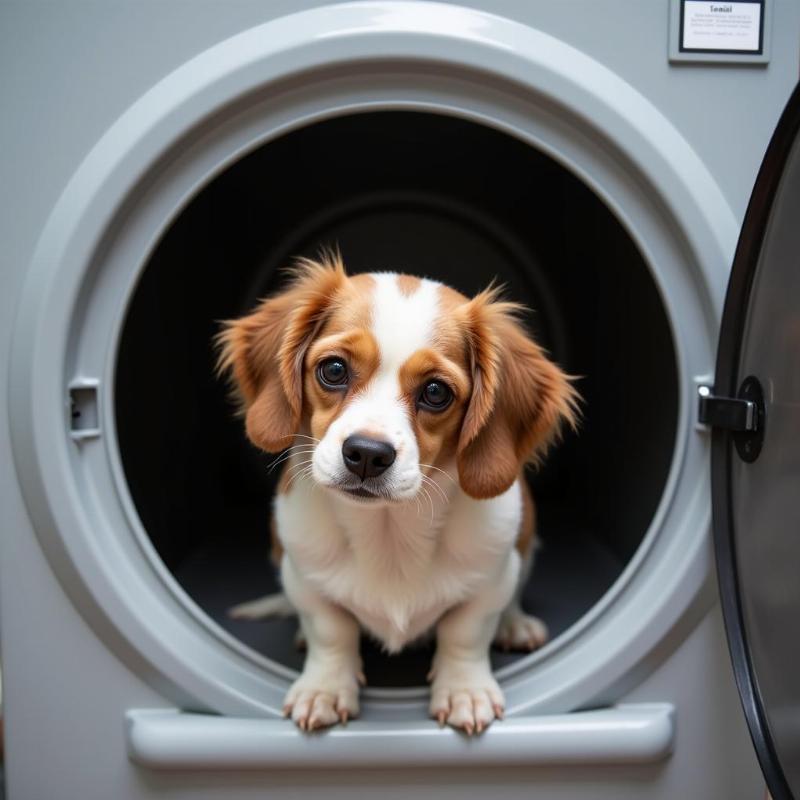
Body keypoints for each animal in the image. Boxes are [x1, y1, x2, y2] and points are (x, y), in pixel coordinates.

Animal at [216, 253, 580, 736]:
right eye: (333, 370)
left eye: (436, 392)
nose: (367, 455)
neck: (388, 531)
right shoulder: (304, 574)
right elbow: (331, 631)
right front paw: (324, 689)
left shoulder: (490, 579)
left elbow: (465, 633)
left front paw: (465, 691)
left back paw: (515, 625)